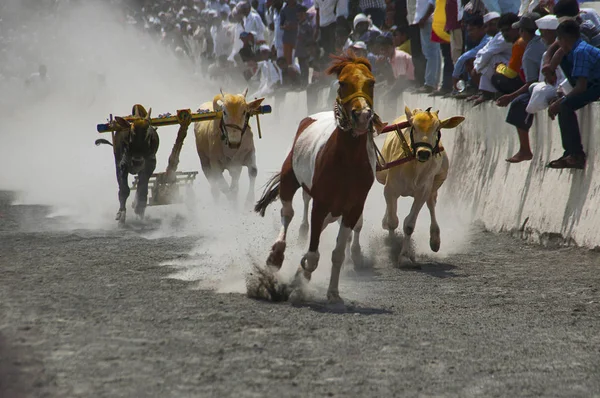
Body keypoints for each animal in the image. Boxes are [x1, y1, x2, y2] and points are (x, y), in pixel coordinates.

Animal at [376, 107, 464, 266]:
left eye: (437, 129)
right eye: (414, 127)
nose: (424, 152)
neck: (414, 166)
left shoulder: (423, 191)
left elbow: (409, 225)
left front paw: (405, 256)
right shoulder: (390, 188)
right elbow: (392, 221)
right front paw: (392, 245)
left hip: (436, 182)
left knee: (431, 204)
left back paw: (435, 239)